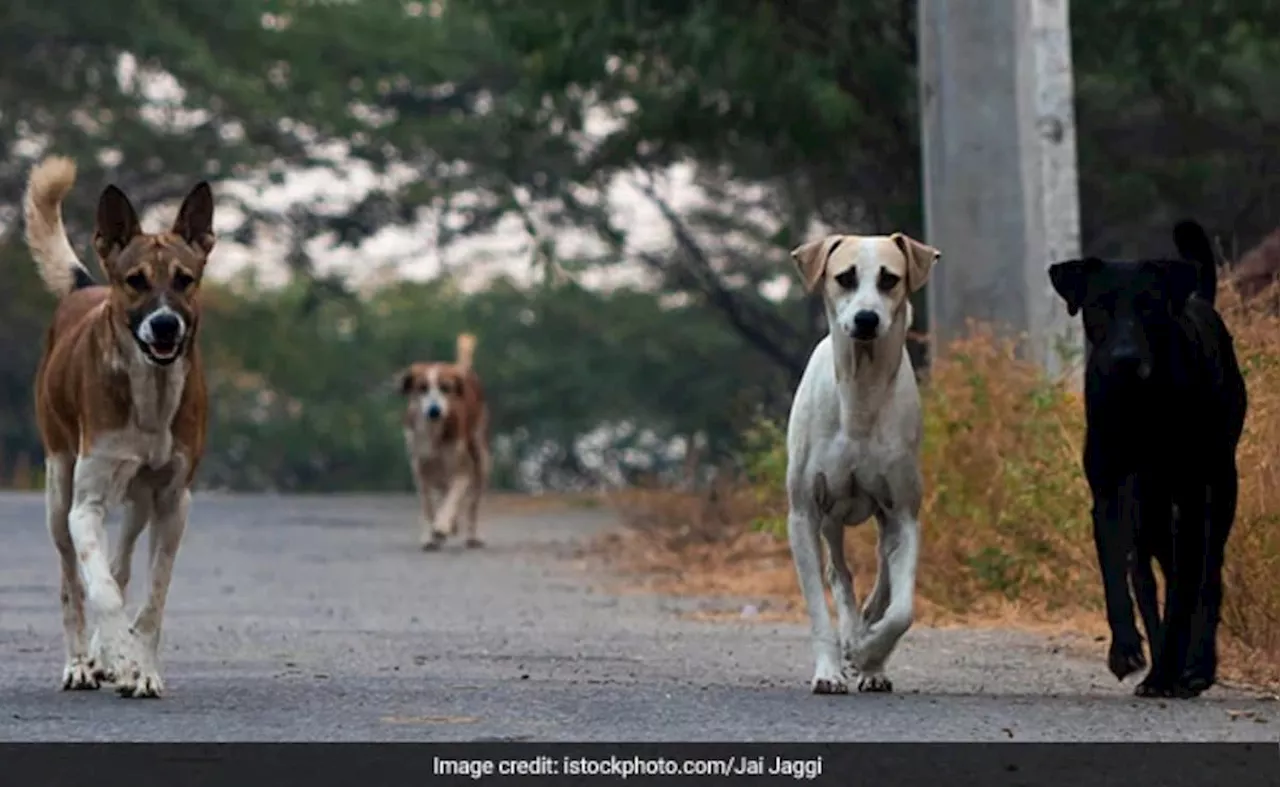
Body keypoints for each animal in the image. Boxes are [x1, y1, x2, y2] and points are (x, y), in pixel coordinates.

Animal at [24, 156, 216, 701]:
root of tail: (85, 286)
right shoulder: (84, 504)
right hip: (58, 486)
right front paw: (118, 654)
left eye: (184, 279)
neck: (150, 392)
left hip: (139, 503)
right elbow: (103, 594)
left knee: (122, 562)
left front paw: (142, 668)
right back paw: (81, 663)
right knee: (73, 581)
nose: (166, 325)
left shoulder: (173, 503)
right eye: (135, 280)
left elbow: (151, 598)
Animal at [401, 335, 491, 550]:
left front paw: (442, 526)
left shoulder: (462, 469)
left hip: (481, 456)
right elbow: (428, 505)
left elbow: (453, 497)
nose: (434, 410)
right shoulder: (420, 469)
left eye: (445, 388)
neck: (433, 432)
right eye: (422, 388)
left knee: (472, 502)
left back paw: (470, 535)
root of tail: (461, 369)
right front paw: (430, 536)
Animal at [778, 229, 942, 696]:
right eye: (845, 276)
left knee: (882, 574)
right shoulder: (803, 513)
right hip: (830, 515)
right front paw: (830, 670)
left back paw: (867, 649)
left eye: (890, 278)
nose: (866, 319)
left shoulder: (904, 511)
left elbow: (902, 609)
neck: (861, 396)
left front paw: (870, 655)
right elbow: (819, 605)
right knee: (839, 572)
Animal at [1049, 221, 1249, 701]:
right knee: (1151, 575)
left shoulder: (1192, 498)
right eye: (1099, 306)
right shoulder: (1107, 493)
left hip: (1221, 483)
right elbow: (1117, 579)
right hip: (1150, 517)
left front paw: (1174, 669)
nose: (1125, 360)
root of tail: (1199, 300)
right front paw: (1126, 651)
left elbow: (1184, 594)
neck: (1139, 404)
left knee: (1207, 575)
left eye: (1149, 307)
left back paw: (1194, 668)